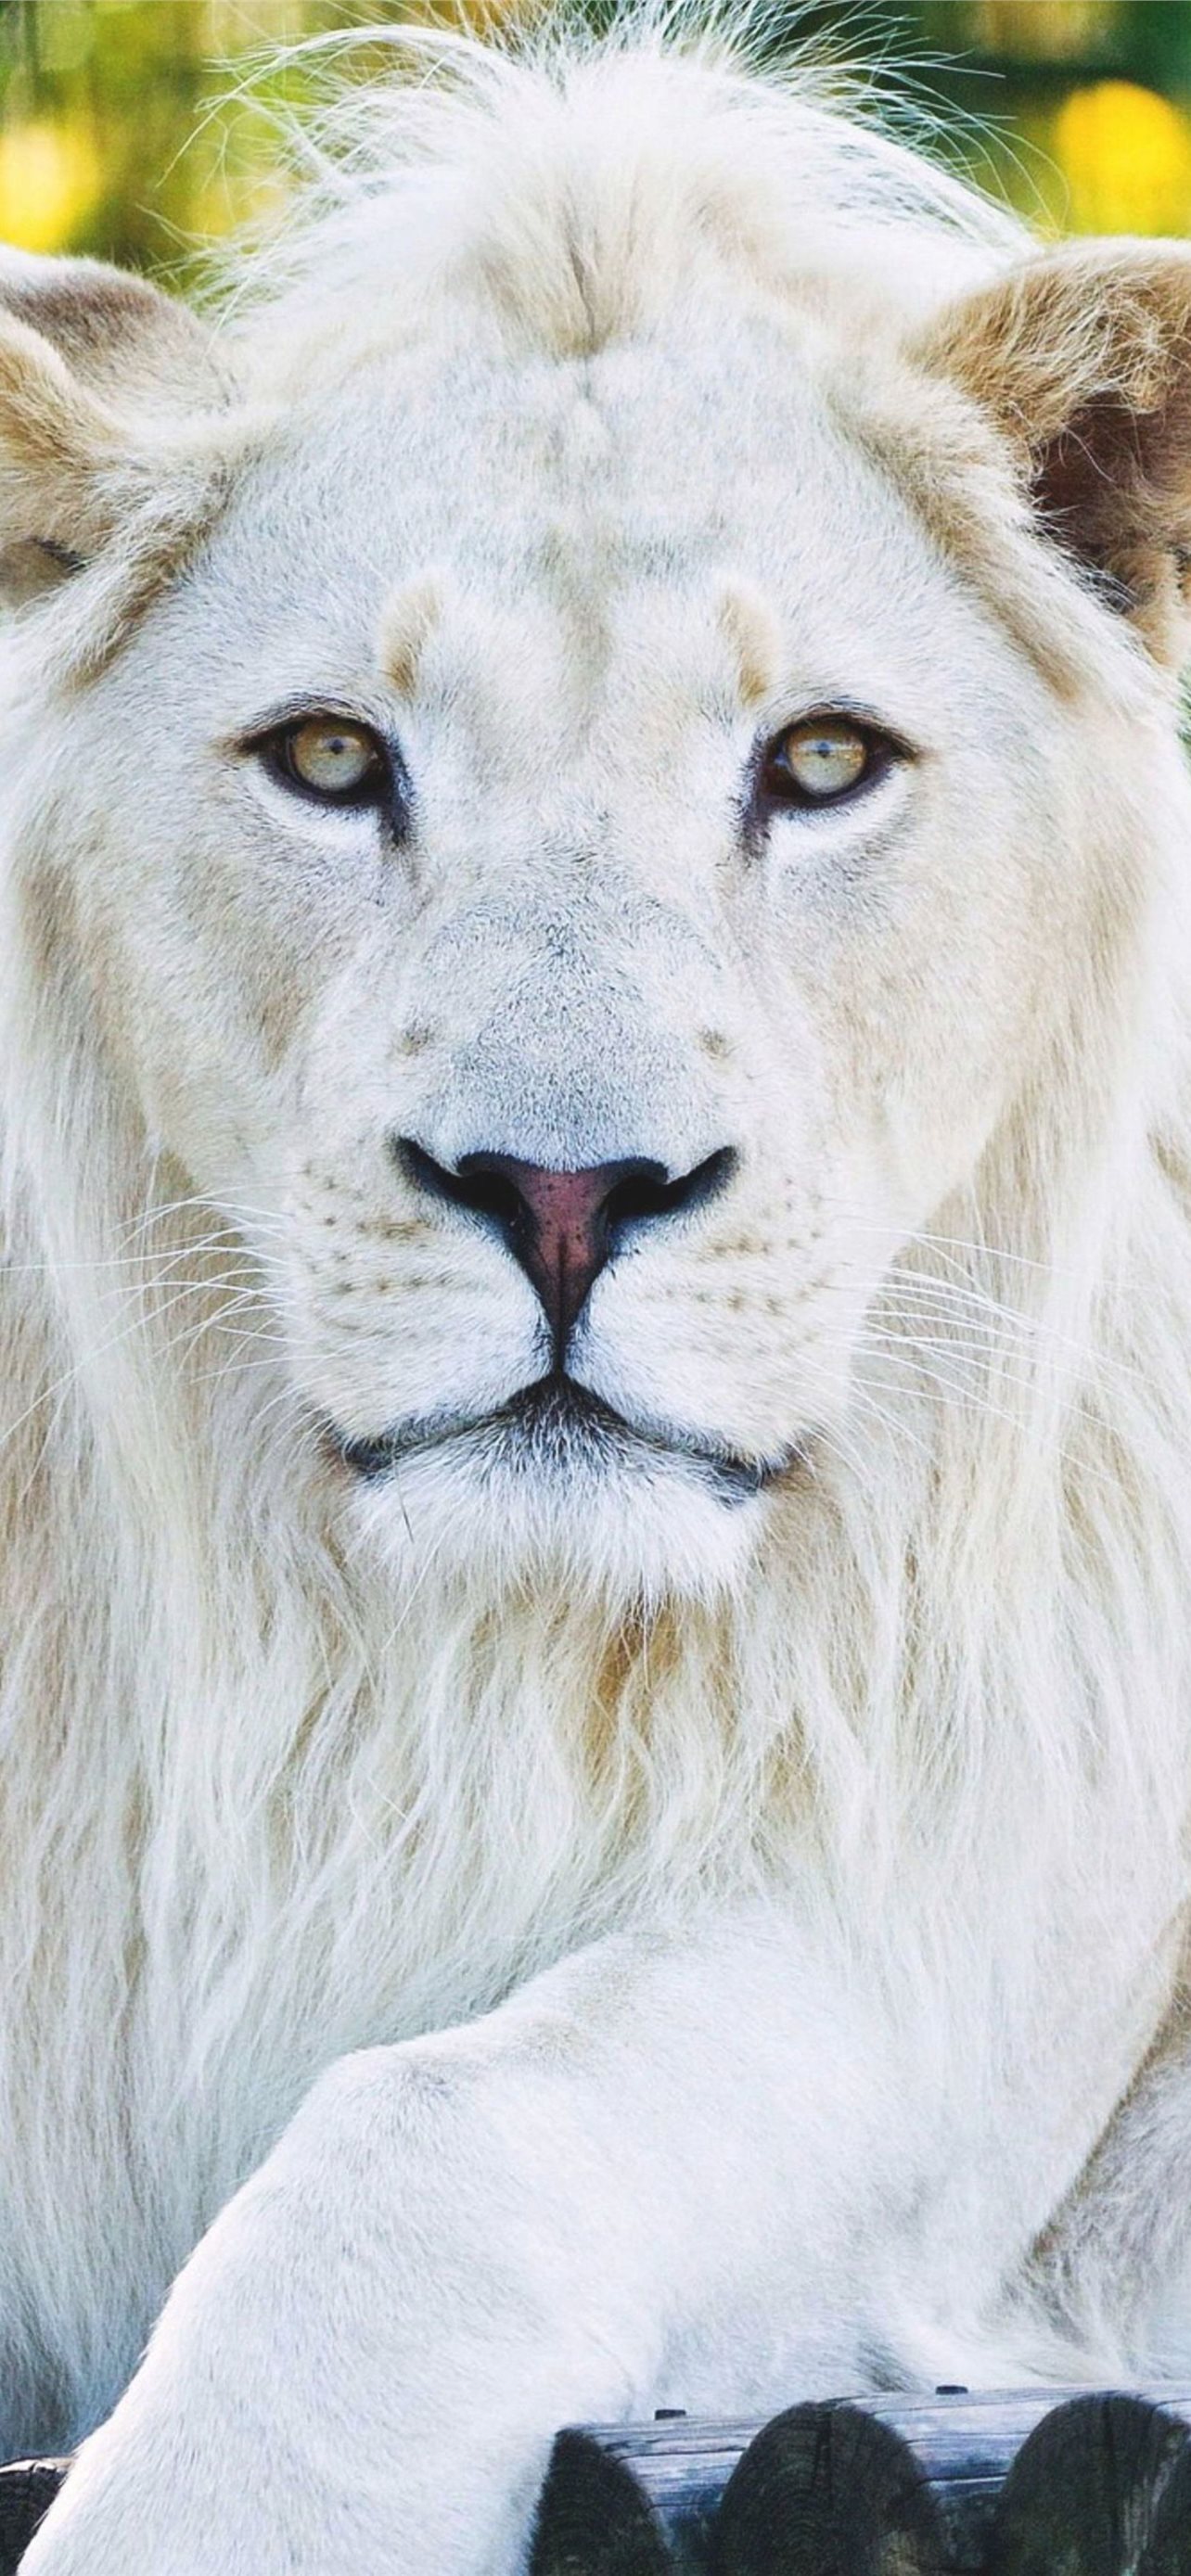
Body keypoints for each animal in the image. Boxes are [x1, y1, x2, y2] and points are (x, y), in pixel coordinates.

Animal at [4, 12, 1191, 2569]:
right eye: (330, 756)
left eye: (821, 760)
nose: (562, 1194)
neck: (434, 1657)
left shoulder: (944, 1909)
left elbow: (438, 2139)